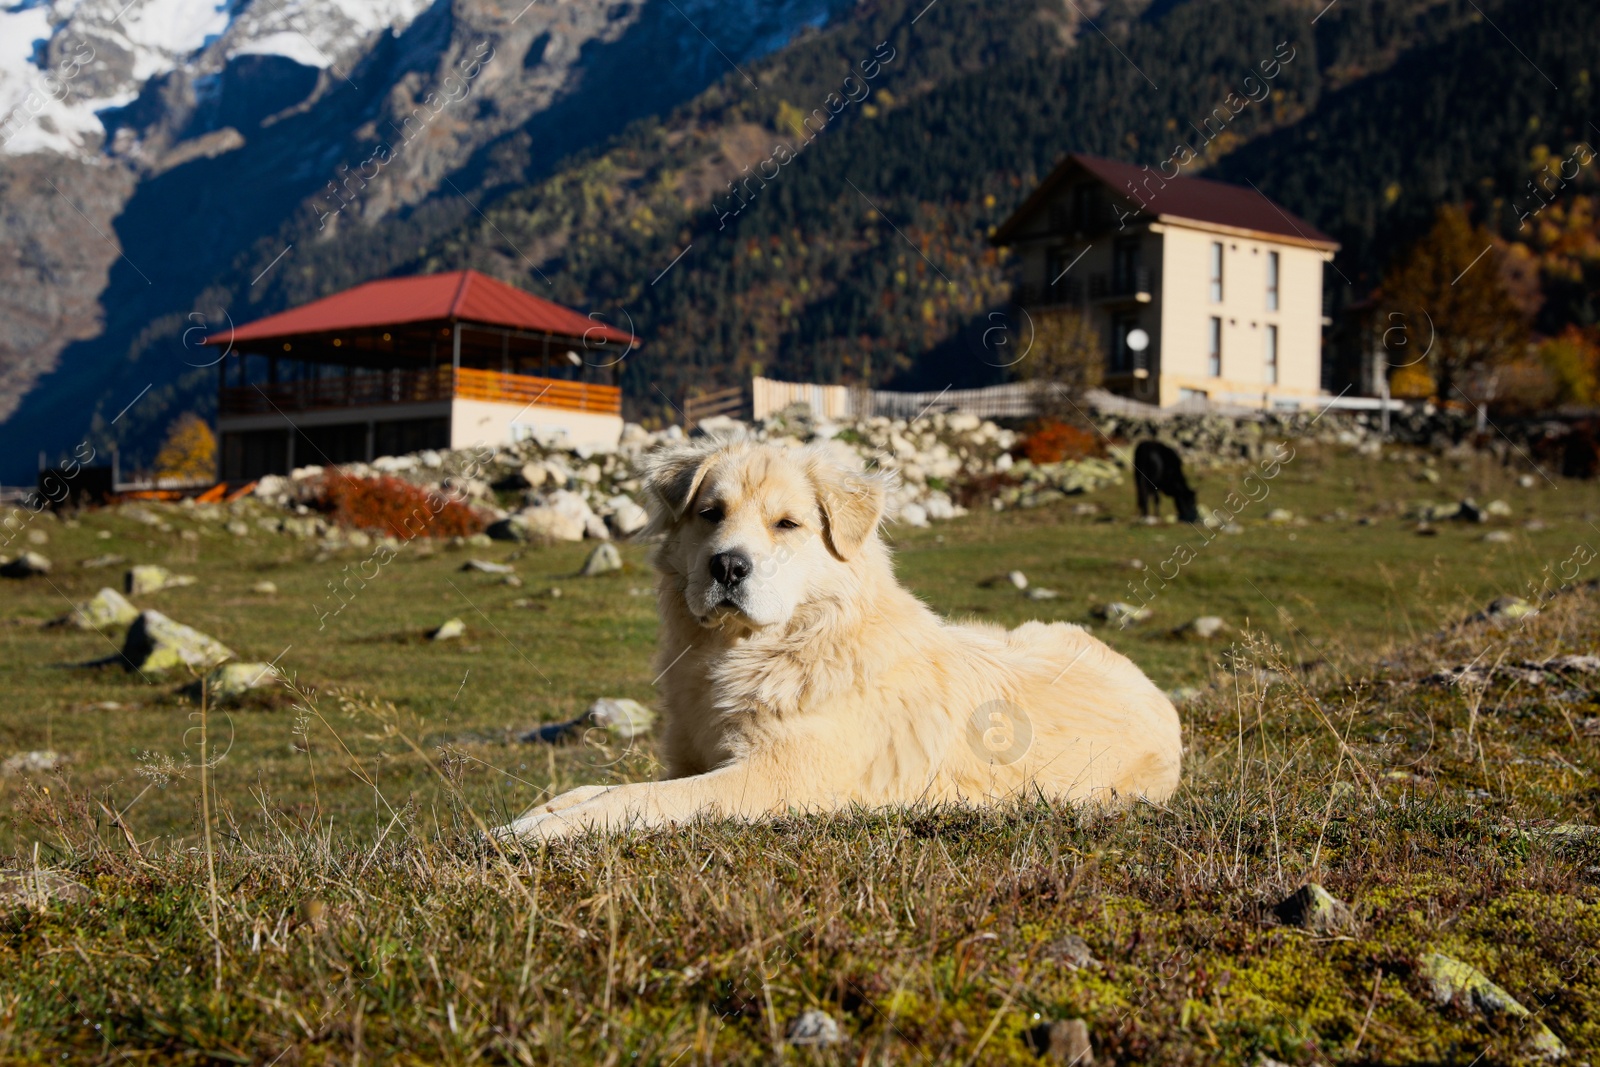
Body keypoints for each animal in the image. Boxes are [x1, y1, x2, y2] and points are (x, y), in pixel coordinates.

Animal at [502, 438, 1190, 838]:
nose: (727, 567)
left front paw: (543, 833)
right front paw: (536, 815)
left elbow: (643, 801)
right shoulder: (693, 760)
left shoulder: (773, 781)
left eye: (787, 524)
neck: (762, 649)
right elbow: (605, 788)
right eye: (709, 514)